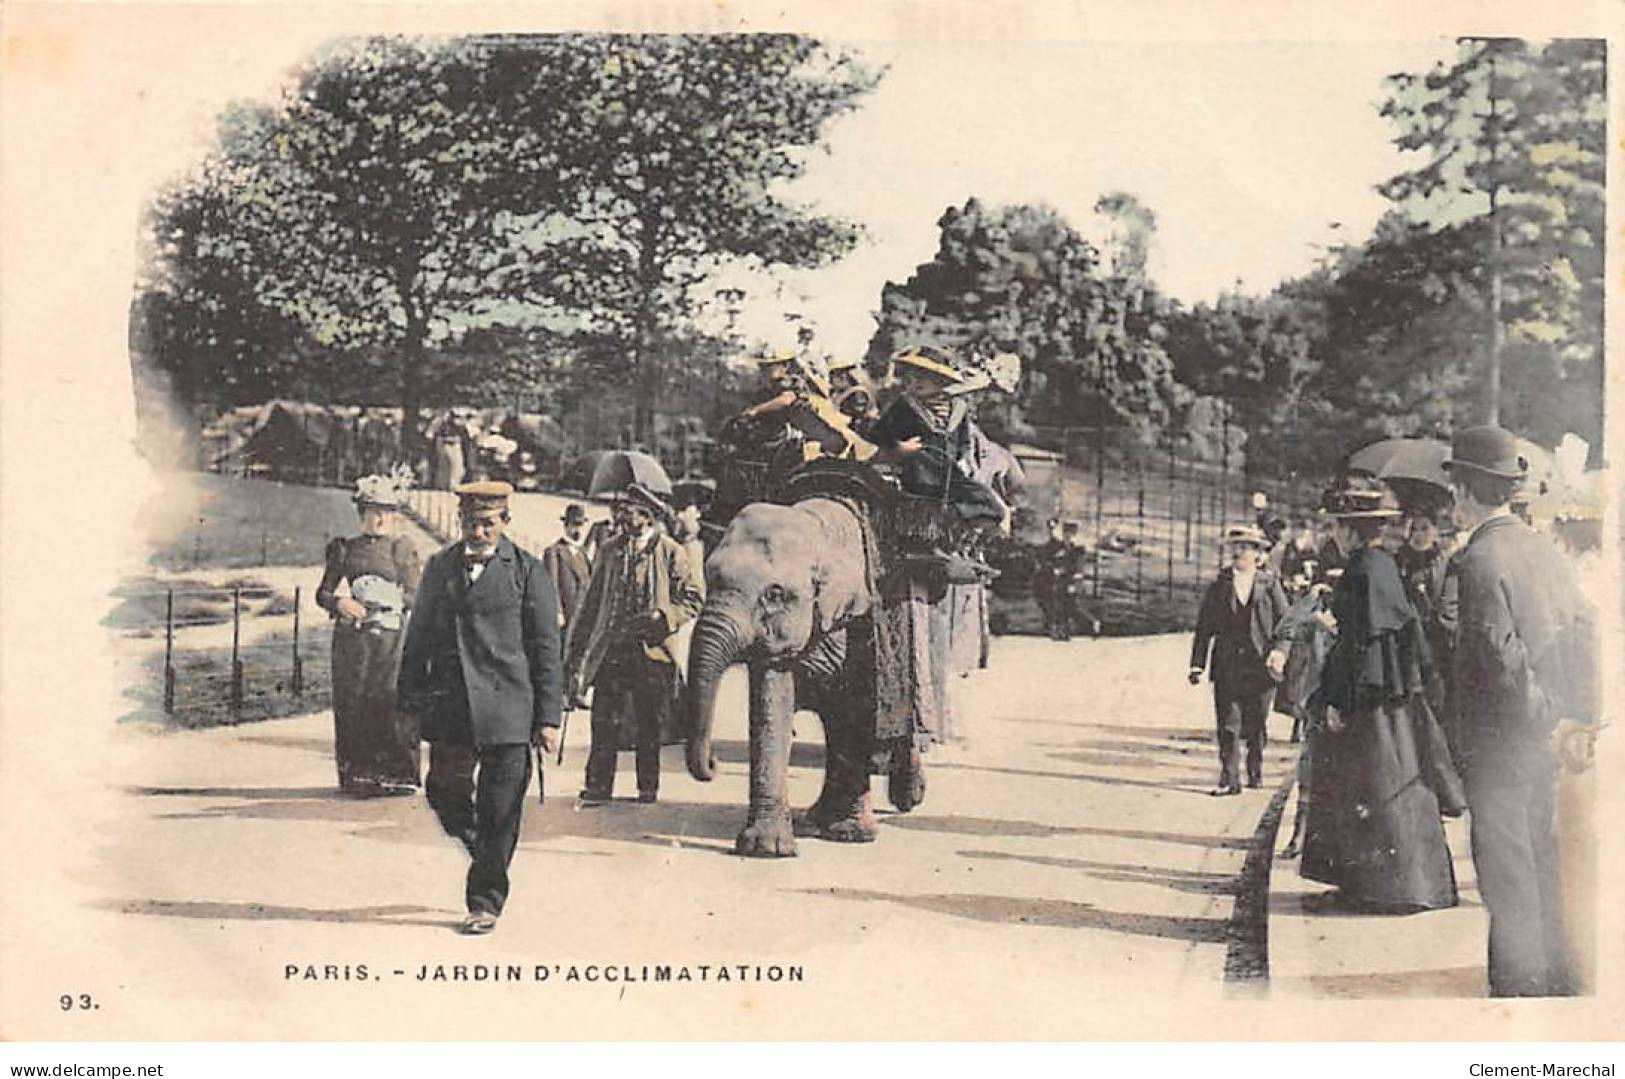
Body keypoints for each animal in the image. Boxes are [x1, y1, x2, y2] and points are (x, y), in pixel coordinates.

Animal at [685, 497, 929, 858]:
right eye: (709, 577)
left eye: (774, 594)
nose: (714, 764)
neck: (816, 524)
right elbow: (772, 701)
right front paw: (767, 849)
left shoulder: (867, 614)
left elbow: (860, 709)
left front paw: (851, 835)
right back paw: (816, 820)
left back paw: (898, 801)